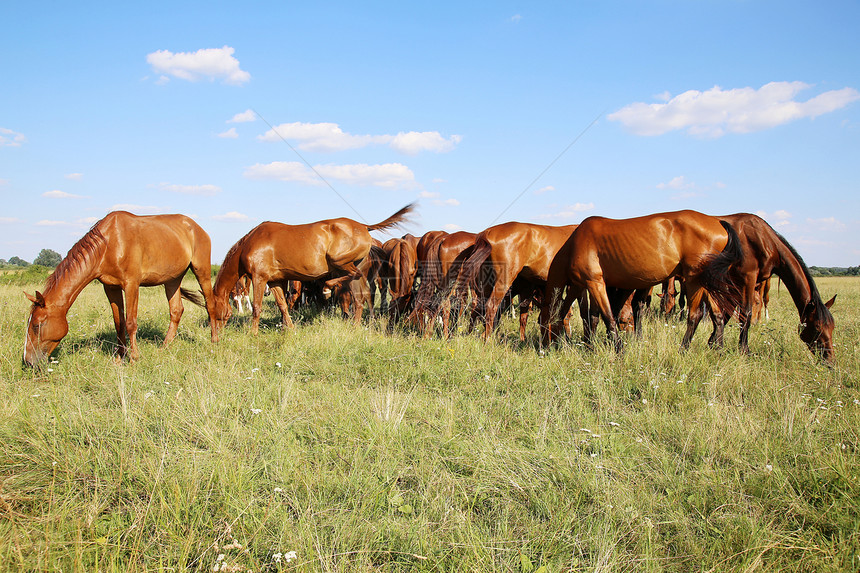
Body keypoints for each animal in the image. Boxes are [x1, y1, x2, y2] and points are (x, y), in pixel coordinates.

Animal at [23, 212, 215, 364]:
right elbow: (119, 322)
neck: (108, 245)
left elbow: (130, 322)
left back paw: (214, 341)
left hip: (201, 271)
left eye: (37, 325)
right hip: (172, 280)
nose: (28, 361)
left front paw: (134, 357)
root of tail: (196, 227)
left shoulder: (131, 284)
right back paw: (164, 347)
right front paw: (119, 357)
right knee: (176, 311)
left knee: (210, 305)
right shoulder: (110, 287)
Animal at [212, 203, 414, 336]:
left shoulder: (259, 278)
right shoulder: (275, 281)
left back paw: (327, 287)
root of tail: (364, 227)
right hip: (356, 273)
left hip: (340, 263)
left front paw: (252, 333)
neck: (250, 243)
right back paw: (355, 327)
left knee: (352, 280)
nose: (215, 335)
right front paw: (290, 328)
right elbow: (283, 305)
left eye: (211, 309)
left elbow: (256, 306)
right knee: (360, 298)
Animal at [540, 209, 744, 348]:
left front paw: (618, 349)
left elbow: (608, 317)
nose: (543, 347)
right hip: (707, 282)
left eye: (541, 323)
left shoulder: (595, 283)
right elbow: (594, 317)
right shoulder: (588, 285)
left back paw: (684, 349)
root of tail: (719, 223)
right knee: (717, 314)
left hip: (695, 280)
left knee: (695, 315)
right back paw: (717, 347)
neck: (575, 245)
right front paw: (591, 345)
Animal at [716, 212, 836, 364]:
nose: (830, 361)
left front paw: (714, 344)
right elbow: (745, 315)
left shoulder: (738, 284)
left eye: (832, 326)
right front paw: (744, 351)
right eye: (817, 327)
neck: (764, 240)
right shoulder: (747, 279)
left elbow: (728, 312)